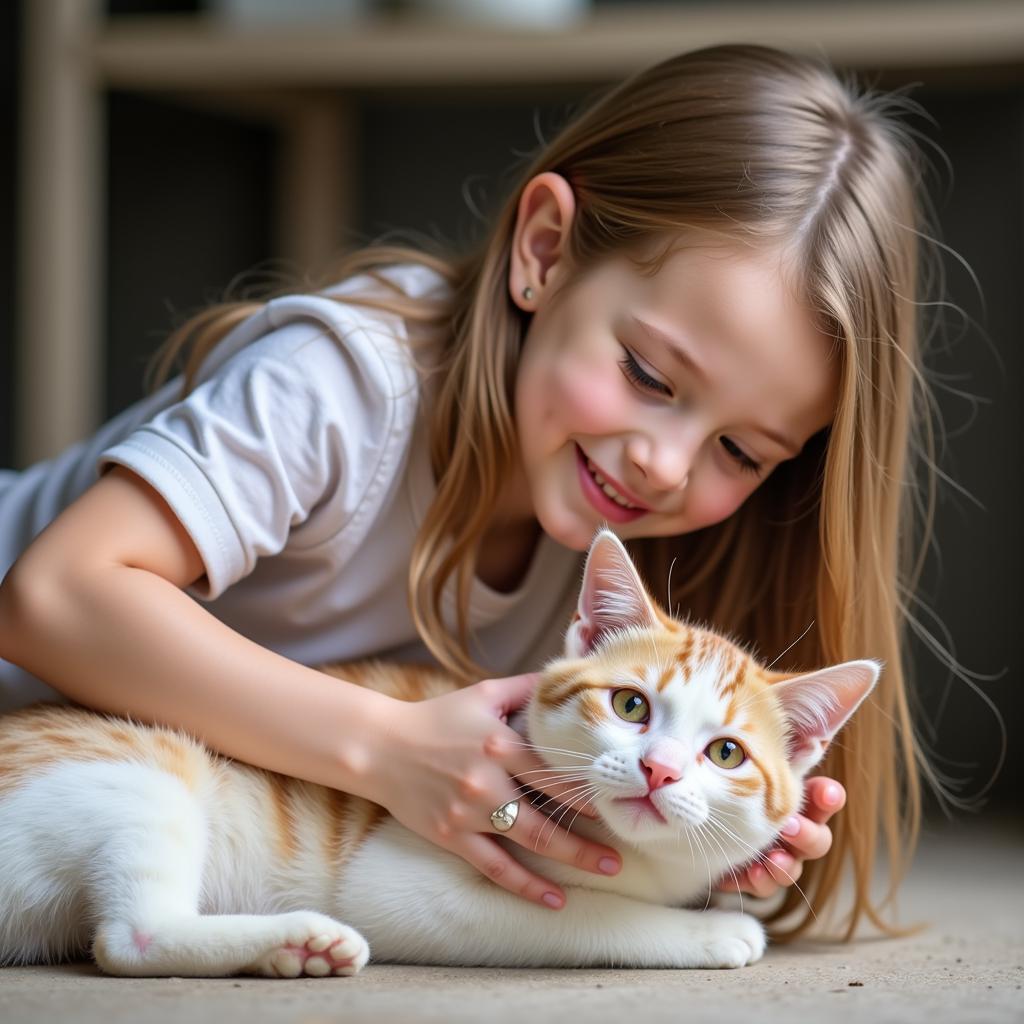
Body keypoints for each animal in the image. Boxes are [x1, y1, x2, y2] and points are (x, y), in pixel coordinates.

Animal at [0, 528, 880, 974]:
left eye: (726, 754)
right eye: (631, 705)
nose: (659, 768)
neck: (637, 861)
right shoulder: (407, 885)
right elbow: (583, 915)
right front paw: (713, 933)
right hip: (146, 773)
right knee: (127, 939)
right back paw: (297, 939)